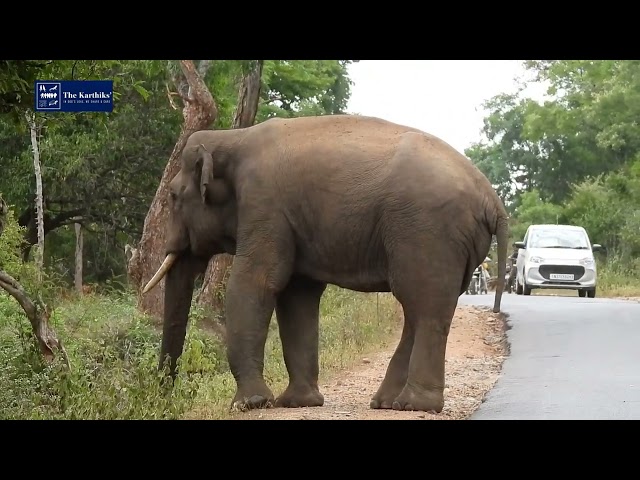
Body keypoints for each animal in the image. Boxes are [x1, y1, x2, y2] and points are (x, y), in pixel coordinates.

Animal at [142, 114, 509, 414]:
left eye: (173, 196)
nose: (163, 398)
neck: (232, 137)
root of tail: (493, 199)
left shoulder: (264, 205)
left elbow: (255, 284)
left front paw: (250, 404)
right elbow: (297, 296)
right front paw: (296, 402)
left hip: (428, 233)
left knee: (425, 307)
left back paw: (414, 405)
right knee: (419, 310)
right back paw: (386, 403)